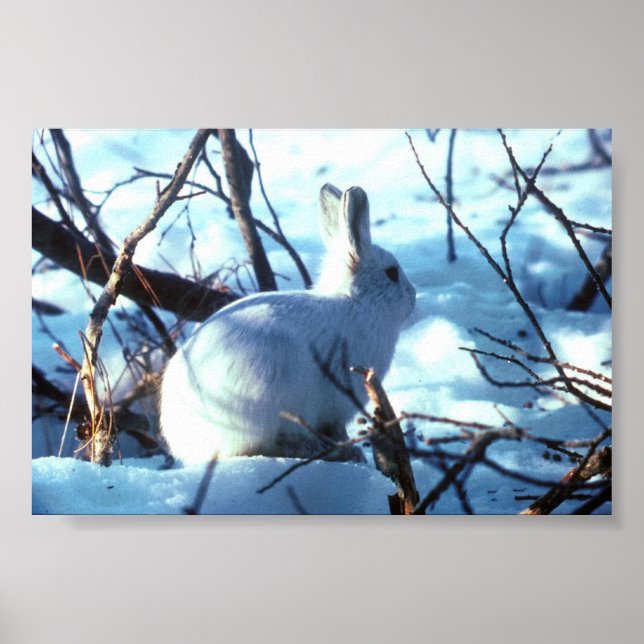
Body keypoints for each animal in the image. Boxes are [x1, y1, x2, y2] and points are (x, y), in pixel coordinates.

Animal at [160, 184, 416, 464]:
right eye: (392, 273)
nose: (413, 297)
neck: (356, 301)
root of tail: (190, 443)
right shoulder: (338, 400)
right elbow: (337, 428)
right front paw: (351, 450)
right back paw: (314, 448)